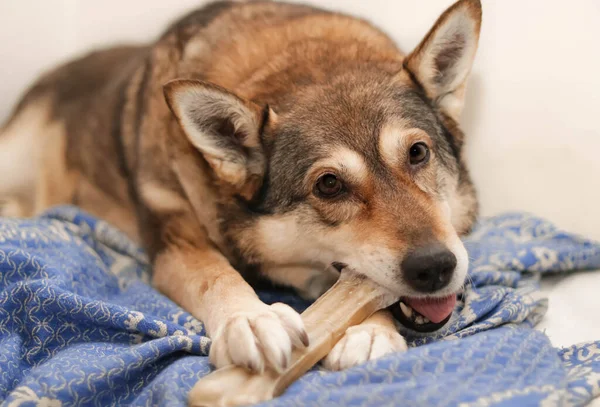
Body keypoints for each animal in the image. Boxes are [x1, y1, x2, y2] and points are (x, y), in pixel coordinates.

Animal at [0, 0, 478, 374]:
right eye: (329, 185)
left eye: (417, 153)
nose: (436, 267)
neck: (303, 62)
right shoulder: (176, 244)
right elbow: (216, 276)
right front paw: (250, 319)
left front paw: (370, 332)